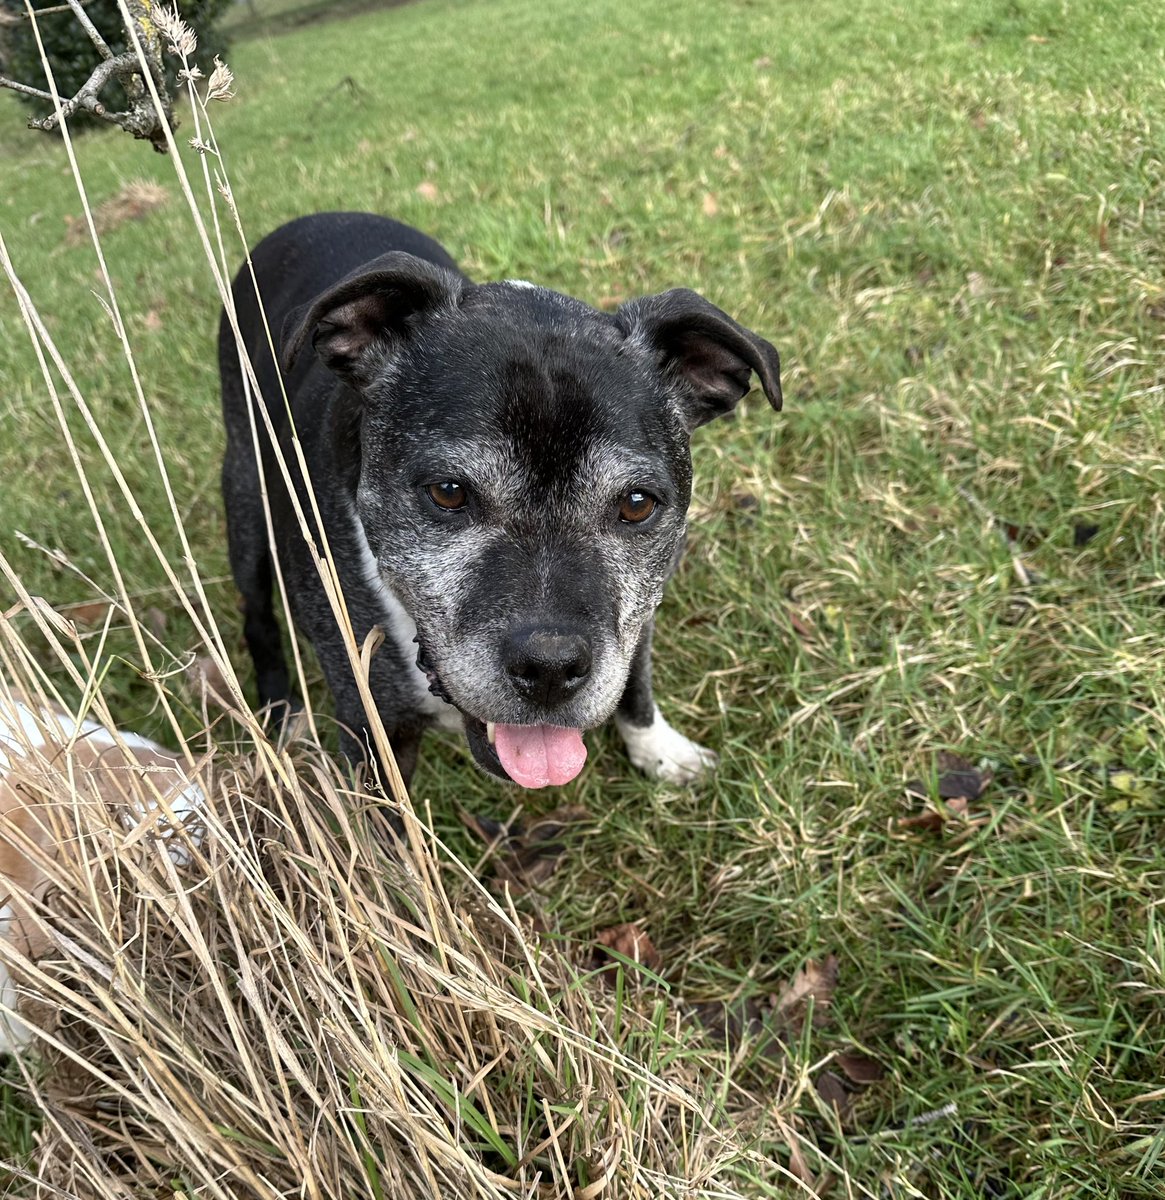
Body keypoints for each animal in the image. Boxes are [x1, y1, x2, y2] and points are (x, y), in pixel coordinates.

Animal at [218, 213, 782, 796]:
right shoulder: (373, 735)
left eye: (636, 504)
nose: (551, 667)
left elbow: (636, 681)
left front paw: (658, 748)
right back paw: (278, 712)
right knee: (256, 613)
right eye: (448, 492)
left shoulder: (640, 611)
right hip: (245, 505)